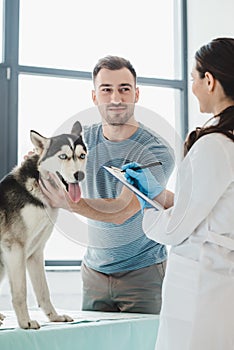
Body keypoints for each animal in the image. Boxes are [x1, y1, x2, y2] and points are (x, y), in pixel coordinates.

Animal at [0, 120, 87, 328]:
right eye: (63, 156)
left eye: (82, 156)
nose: (79, 175)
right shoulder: (15, 248)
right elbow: (21, 291)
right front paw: (25, 322)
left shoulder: (35, 252)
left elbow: (43, 291)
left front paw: (54, 317)